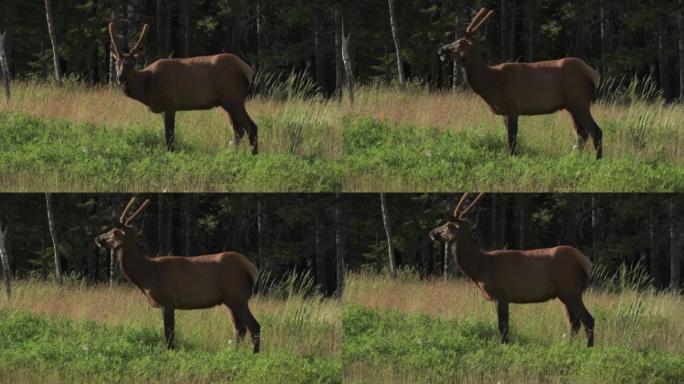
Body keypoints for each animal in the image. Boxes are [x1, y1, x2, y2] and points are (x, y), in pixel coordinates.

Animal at [97, 200, 264, 352]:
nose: (98, 238)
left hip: (237, 296)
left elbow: (169, 335)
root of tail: (252, 269)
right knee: (239, 328)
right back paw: (233, 351)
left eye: (115, 232)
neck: (146, 275)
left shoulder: (168, 301)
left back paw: (253, 354)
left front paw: (169, 353)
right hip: (228, 300)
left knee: (254, 326)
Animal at [109, 22, 260, 153]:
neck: (148, 86)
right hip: (227, 103)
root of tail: (248, 70)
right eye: (116, 63)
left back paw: (253, 155)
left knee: (251, 127)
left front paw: (169, 154)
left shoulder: (170, 104)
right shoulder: (164, 109)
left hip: (234, 98)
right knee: (238, 131)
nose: (120, 78)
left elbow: (169, 136)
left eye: (131, 64)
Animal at [428, 194, 592, 346]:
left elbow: (503, 327)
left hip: (571, 290)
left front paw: (504, 347)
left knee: (588, 320)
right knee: (574, 323)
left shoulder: (502, 294)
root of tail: (585, 262)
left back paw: (587, 348)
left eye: (449, 225)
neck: (480, 268)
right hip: (563, 295)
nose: (432, 233)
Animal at [438, 9, 604, 159]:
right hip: (570, 106)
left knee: (596, 131)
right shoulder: (505, 112)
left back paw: (597, 160)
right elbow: (511, 139)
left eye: (460, 42)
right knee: (581, 134)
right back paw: (573, 158)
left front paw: (511, 159)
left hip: (580, 102)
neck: (490, 83)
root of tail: (594, 74)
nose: (441, 49)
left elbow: (512, 140)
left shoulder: (512, 107)